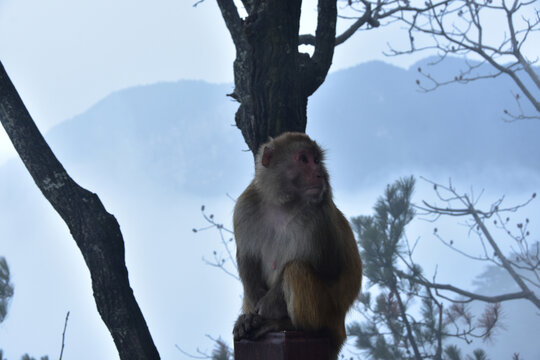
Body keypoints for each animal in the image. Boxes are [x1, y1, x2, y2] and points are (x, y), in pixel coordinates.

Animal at [232, 132, 362, 360]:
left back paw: (287, 324)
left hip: (328, 314)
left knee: (296, 269)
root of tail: (340, 325)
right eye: (304, 159)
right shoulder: (245, 205)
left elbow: (330, 268)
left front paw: (266, 307)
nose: (319, 174)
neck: (283, 203)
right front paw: (250, 316)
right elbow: (247, 259)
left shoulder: (320, 214)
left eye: (316, 160)